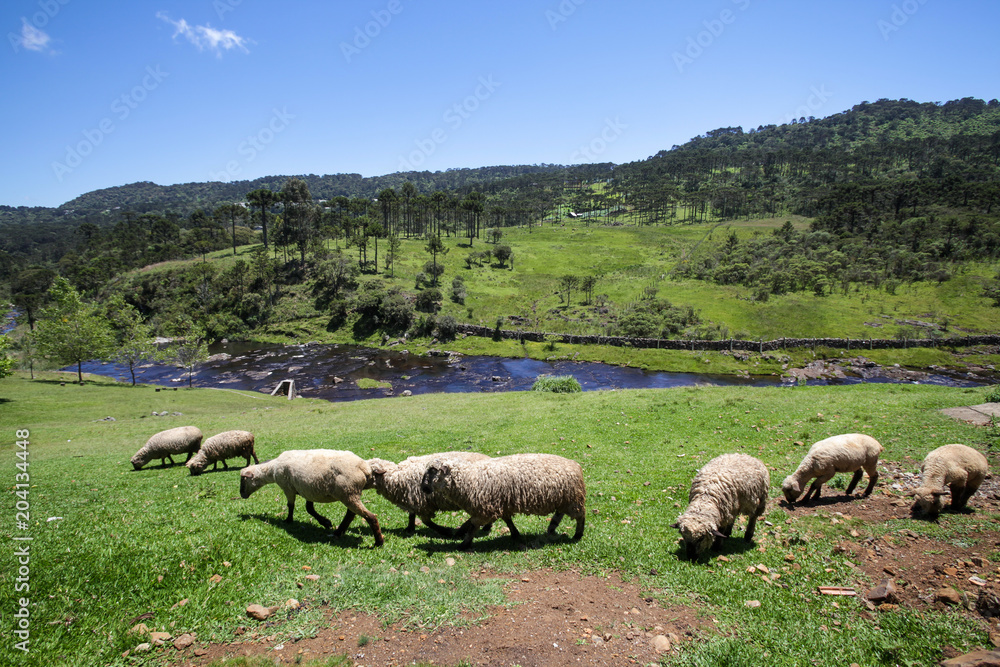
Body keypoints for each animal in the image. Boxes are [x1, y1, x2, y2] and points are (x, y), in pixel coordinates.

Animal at [240, 449, 383, 547]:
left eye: (243, 480)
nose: (242, 495)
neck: (272, 469)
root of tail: (364, 467)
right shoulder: (308, 490)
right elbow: (309, 508)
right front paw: (325, 522)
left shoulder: (288, 488)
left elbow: (291, 506)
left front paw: (288, 520)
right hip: (350, 493)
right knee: (351, 514)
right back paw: (338, 532)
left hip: (348, 492)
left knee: (370, 516)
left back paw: (379, 541)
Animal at [420, 453, 586, 549]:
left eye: (433, 471)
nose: (423, 488)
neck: (469, 478)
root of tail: (576, 465)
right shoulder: (498, 504)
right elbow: (507, 520)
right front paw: (515, 534)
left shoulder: (484, 508)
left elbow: (473, 526)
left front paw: (464, 544)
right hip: (564, 499)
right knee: (559, 514)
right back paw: (551, 528)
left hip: (573, 500)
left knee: (580, 516)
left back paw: (578, 535)